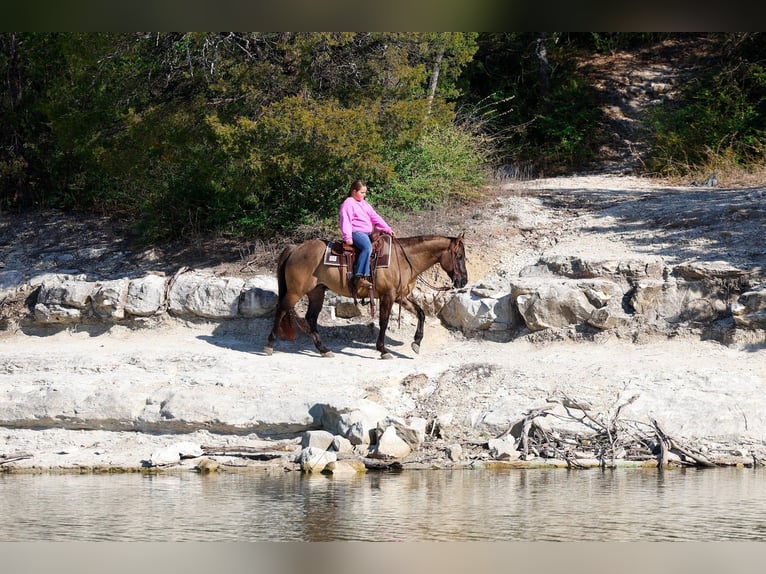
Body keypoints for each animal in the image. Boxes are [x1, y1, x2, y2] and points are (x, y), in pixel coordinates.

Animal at [263, 233, 467, 359]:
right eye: (458, 256)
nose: (463, 281)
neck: (403, 259)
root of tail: (295, 248)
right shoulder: (387, 296)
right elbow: (383, 321)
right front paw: (383, 350)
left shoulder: (400, 297)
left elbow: (421, 313)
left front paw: (416, 342)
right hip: (296, 292)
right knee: (281, 309)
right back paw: (270, 344)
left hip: (316, 292)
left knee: (311, 318)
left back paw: (323, 350)